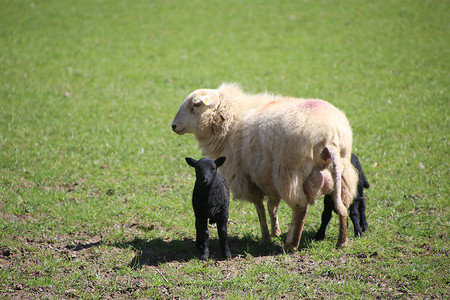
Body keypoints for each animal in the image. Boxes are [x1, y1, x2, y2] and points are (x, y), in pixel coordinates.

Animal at [172, 83, 358, 250]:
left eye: (196, 105)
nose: (173, 126)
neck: (231, 119)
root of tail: (330, 135)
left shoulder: (246, 179)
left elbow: (260, 209)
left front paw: (266, 237)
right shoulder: (269, 178)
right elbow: (272, 206)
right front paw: (276, 232)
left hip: (288, 172)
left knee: (300, 207)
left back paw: (291, 244)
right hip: (342, 172)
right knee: (341, 205)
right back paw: (342, 241)